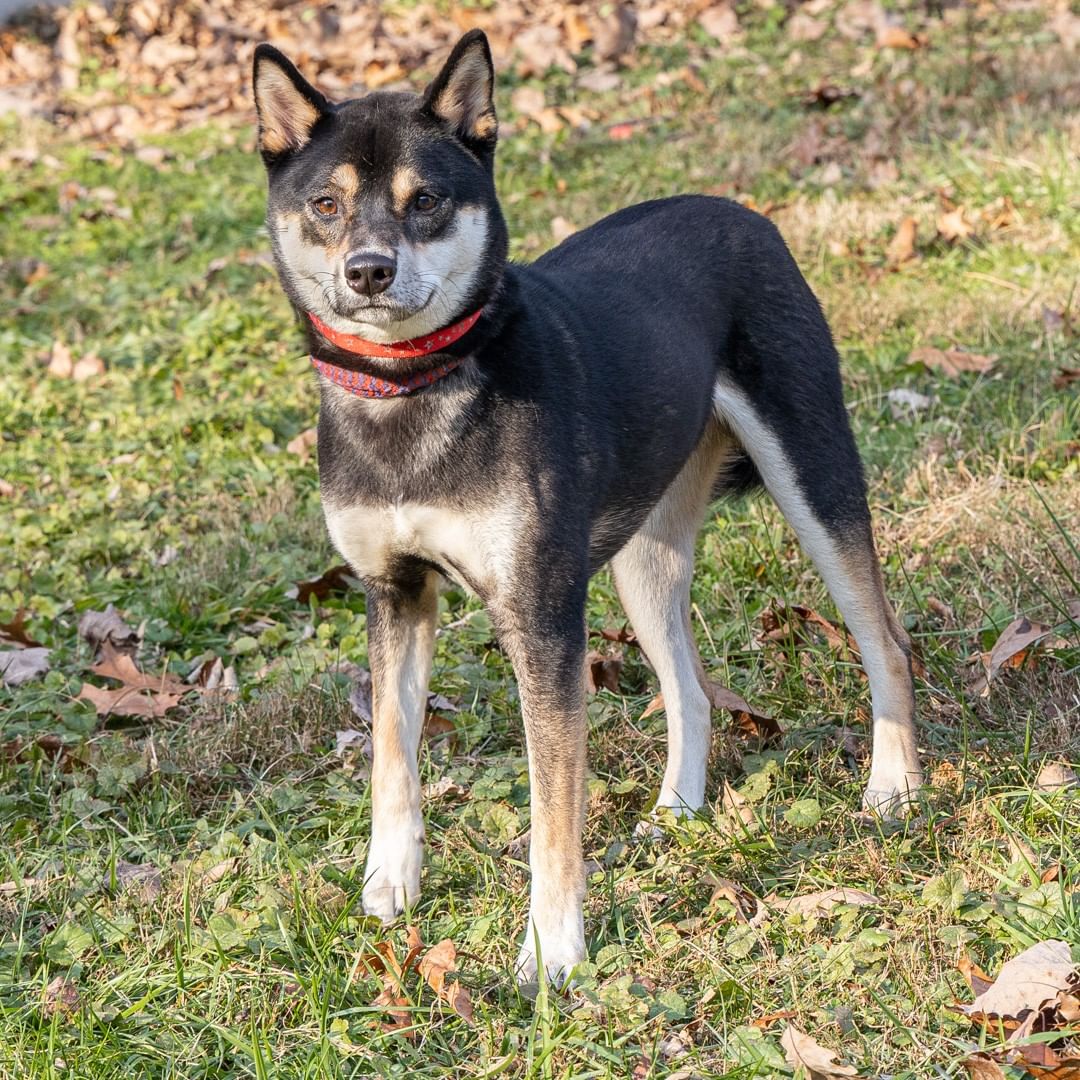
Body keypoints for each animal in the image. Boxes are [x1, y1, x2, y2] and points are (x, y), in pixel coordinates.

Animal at [250, 27, 920, 989]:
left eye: (427, 202)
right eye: (327, 204)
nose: (368, 271)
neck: (412, 389)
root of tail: (741, 212)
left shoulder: (541, 619)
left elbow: (553, 813)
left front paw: (552, 953)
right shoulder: (394, 592)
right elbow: (392, 757)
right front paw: (388, 887)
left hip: (814, 478)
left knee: (885, 641)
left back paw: (893, 788)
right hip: (643, 557)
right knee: (690, 690)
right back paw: (676, 813)